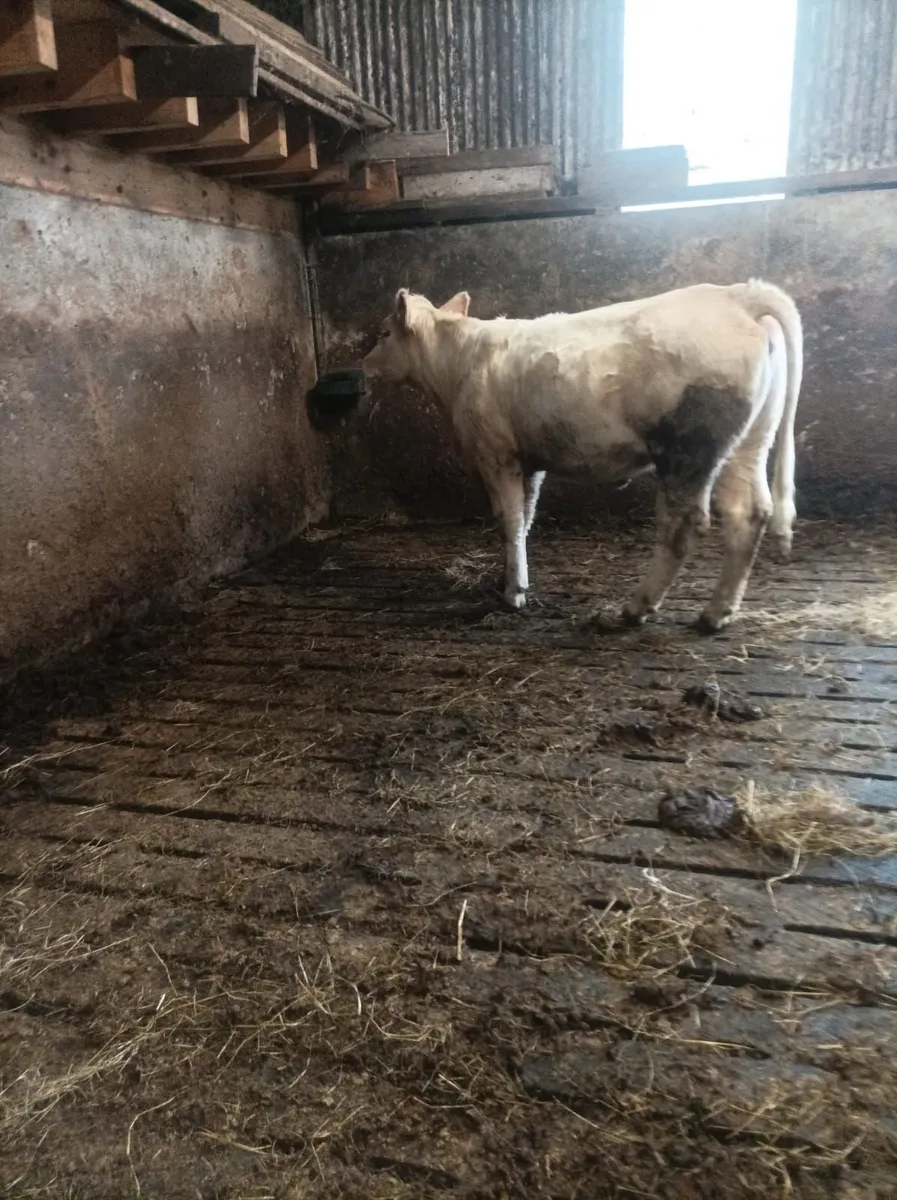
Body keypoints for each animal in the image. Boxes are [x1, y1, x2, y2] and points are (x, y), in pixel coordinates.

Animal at [361, 280, 802, 632]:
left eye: (383, 333)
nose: (362, 367)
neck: (457, 366)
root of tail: (736, 294)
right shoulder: (528, 460)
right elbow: (525, 518)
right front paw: (510, 579)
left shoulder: (495, 452)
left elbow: (509, 519)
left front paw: (513, 594)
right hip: (749, 441)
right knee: (748, 512)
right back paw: (716, 613)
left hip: (686, 448)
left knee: (682, 525)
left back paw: (636, 609)